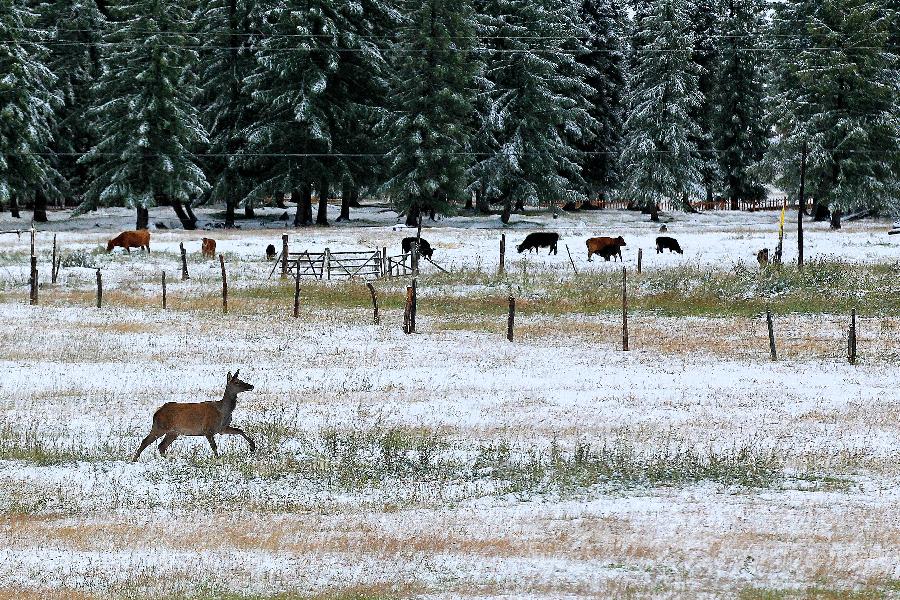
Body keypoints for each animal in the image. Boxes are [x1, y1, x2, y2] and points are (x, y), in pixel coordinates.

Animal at [130, 368, 258, 462]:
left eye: (242, 379)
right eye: (237, 382)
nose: (251, 386)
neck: (223, 412)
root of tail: (156, 412)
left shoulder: (221, 429)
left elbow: (239, 430)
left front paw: (252, 446)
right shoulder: (207, 429)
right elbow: (214, 447)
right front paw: (218, 459)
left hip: (173, 432)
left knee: (161, 446)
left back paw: (169, 459)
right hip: (160, 426)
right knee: (146, 441)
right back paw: (134, 459)